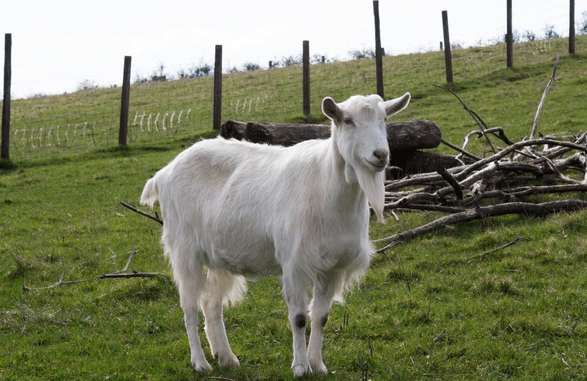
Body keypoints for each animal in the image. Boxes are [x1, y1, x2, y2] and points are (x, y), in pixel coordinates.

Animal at [140, 92, 412, 374]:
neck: (326, 183)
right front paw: (301, 367)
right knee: (189, 306)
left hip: (217, 255)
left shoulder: (332, 266)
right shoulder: (294, 262)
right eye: (348, 120)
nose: (380, 154)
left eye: (384, 119)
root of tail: (164, 173)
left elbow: (321, 317)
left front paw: (318, 364)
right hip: (184, 249)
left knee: (211, 305)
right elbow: (300, 318)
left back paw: (226, 357)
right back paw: (201, 363)